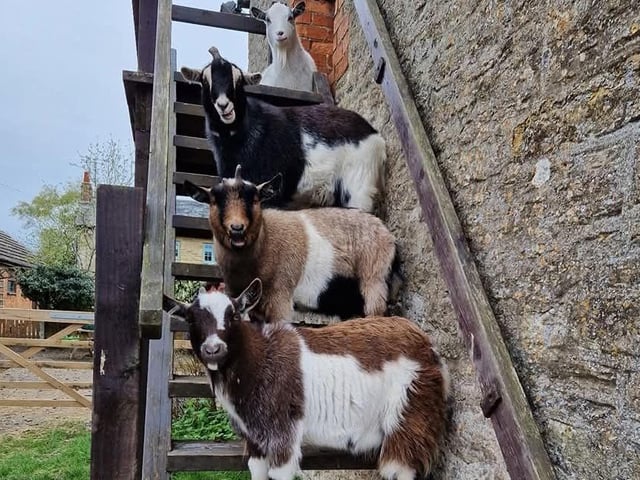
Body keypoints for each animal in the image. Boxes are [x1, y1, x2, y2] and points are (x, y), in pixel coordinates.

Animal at [164, 278, 450, 480]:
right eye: (190, 319)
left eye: (233, 315)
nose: (213, 349)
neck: (259, 358)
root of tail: (428, 346)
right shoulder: (255, 440)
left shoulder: (282, 434)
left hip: (410, 412)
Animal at [184, 166, 401, 322]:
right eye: (214, 201)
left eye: (255, 199)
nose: (237, 228)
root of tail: (387, 235)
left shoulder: (280, 298)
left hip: (373, 279)